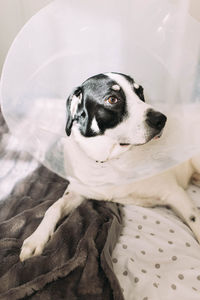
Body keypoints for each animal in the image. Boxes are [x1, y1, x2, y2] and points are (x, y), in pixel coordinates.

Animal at [19, 71, 200, 262]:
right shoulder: (78, 191)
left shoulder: (174, 192)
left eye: (140, 92)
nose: (161, 119)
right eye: (112, 99)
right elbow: (53, 207)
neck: (111, 160)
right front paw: (35, 239)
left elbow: (195, 219)